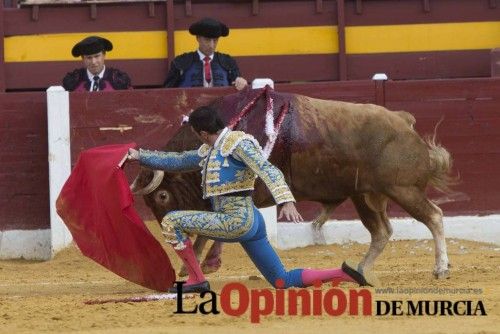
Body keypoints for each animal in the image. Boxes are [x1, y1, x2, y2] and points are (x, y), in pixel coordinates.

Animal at [131, 88, 456, 280]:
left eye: (162, 196)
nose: (171, 238)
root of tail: (403, 120)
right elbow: (210, 234)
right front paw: (194, 266)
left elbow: (209, 234)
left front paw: (194, 266)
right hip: (365, 196)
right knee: (382, 232)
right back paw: (361, 270)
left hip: (404, 190)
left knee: (434, 216)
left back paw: (440, 268)